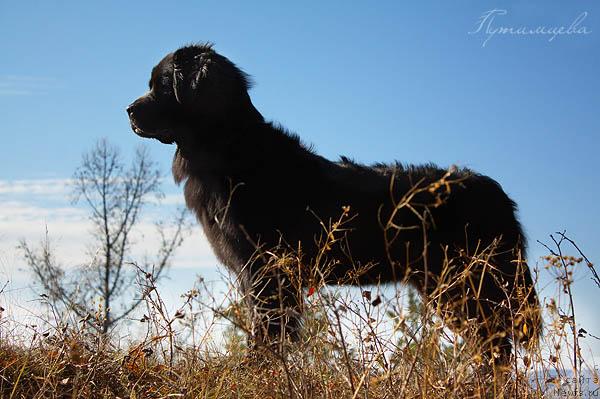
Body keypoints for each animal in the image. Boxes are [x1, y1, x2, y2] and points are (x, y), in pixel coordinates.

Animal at [126, 43, 540, 362]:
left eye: (162, 85)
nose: (128, 110)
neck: (227, 150)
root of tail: (500, 195)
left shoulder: (268, 274)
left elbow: (267, 336)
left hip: (468, 284)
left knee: (496, 346)